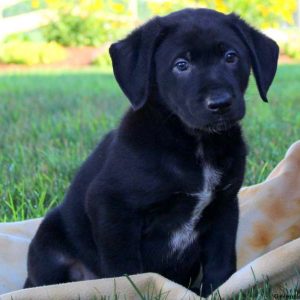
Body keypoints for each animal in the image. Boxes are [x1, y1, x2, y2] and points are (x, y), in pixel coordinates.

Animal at [24, 8, 278, 296]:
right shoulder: (111, 208)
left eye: (231, 57)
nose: (221, 103)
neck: (196, 144)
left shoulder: (224, 206)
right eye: (181, 65)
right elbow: (128, 272)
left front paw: (215, 291)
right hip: (47, 244)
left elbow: (220, 262)